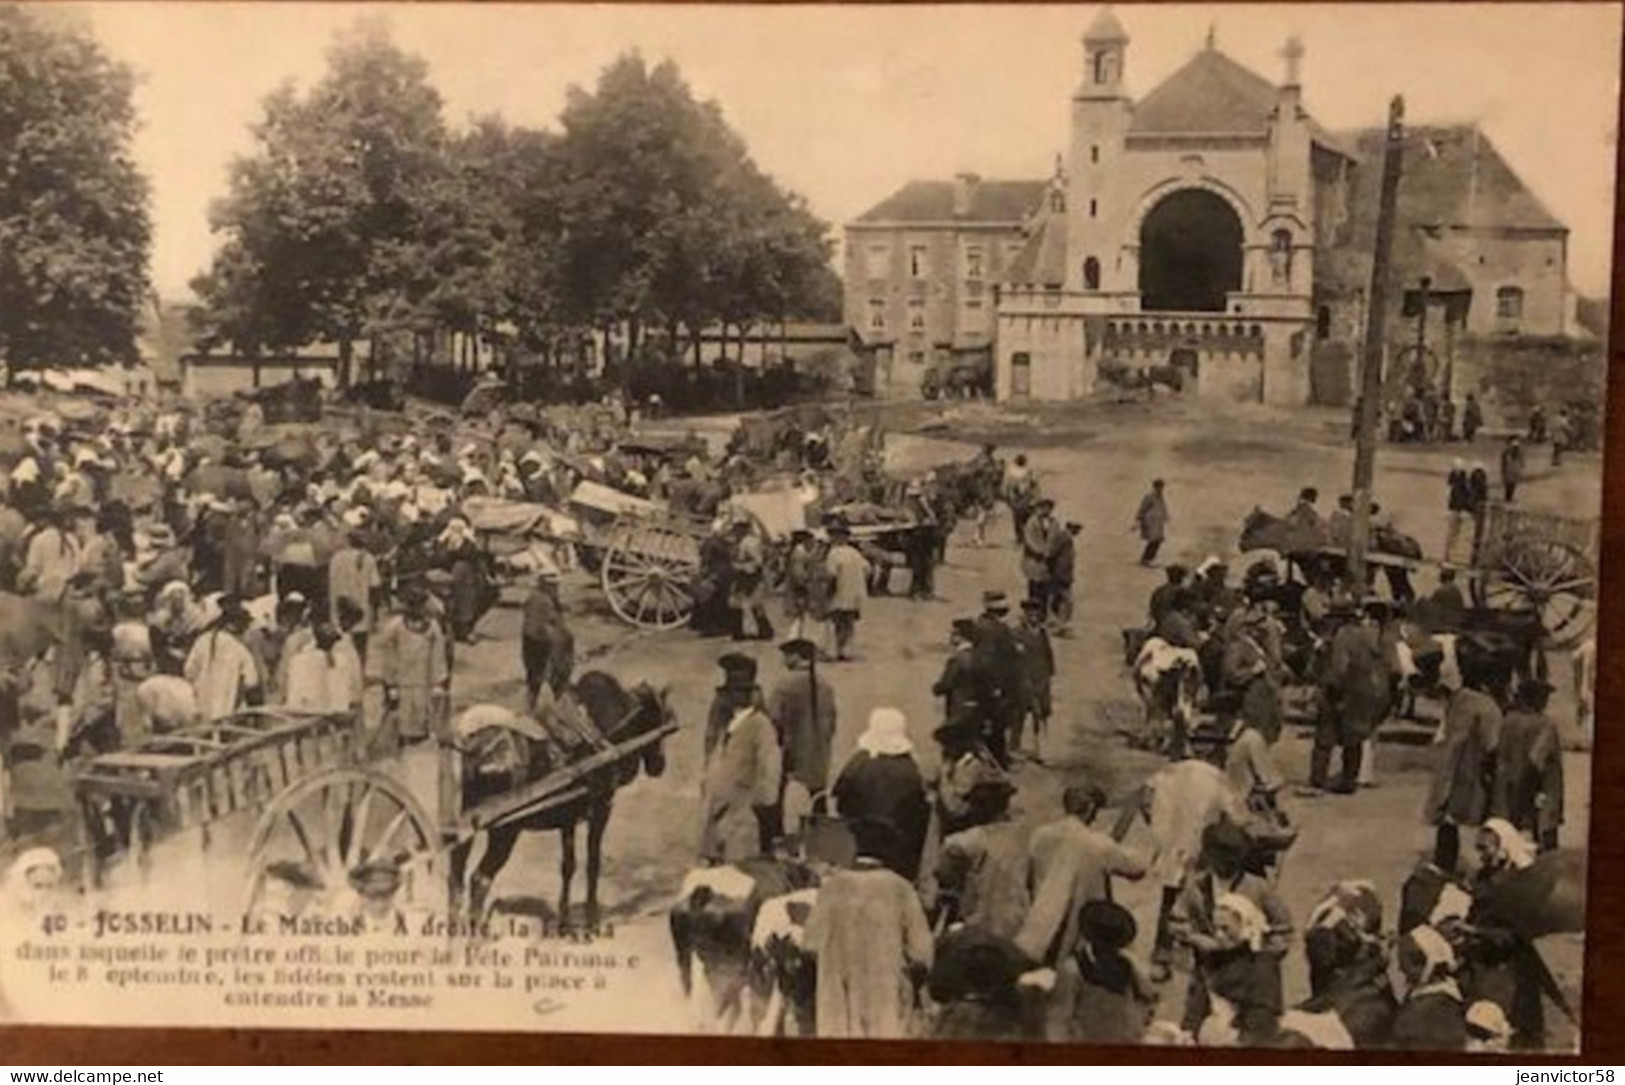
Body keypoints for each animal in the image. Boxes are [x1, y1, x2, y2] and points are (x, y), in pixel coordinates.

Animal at [448, 672, 676, 929]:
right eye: (659, 716)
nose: (659, 765)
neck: (607, 728)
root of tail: (473, 752)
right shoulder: (602, 808)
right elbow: (593, 863)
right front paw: (591, 920)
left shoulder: (568, 818)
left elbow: (568, 866)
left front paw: (564, 921)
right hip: (505, 830)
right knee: (480, 878)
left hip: (468, 823)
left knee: (456, 875)